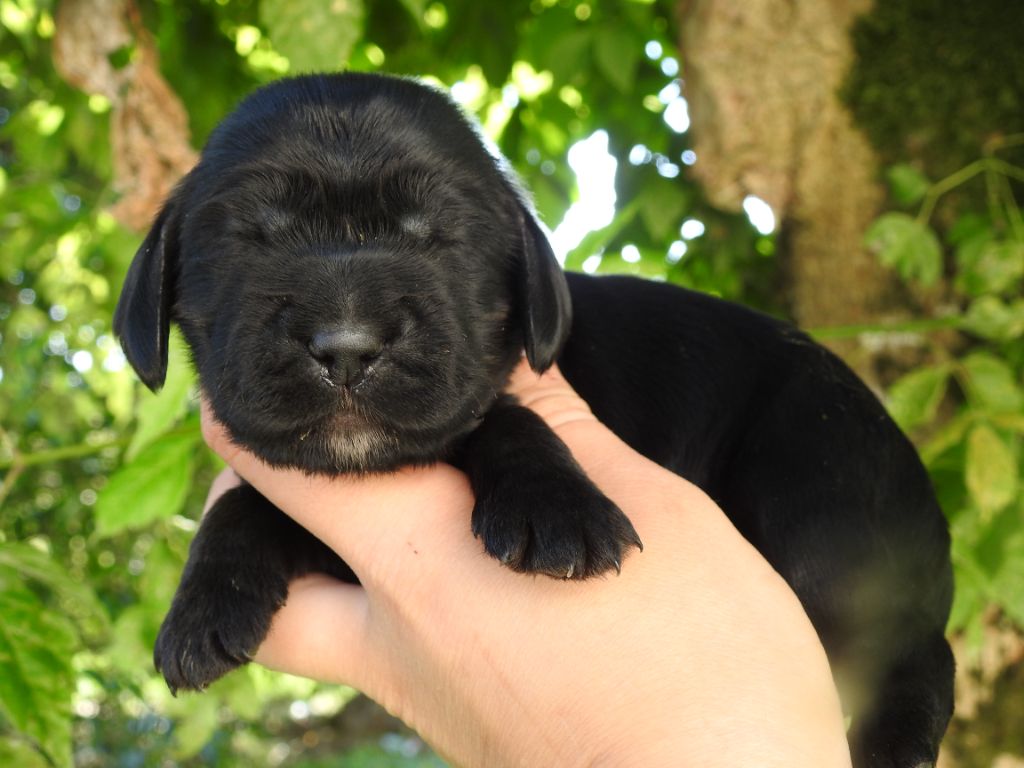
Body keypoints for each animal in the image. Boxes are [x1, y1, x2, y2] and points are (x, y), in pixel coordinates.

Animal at [116, 73, 954, 768]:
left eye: (442, 238)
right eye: (249, 238)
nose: (347, 347)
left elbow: (508, 420)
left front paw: (558, 509)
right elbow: (246, 500)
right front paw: (204, 603)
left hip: (818, 497)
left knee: (919, 649)